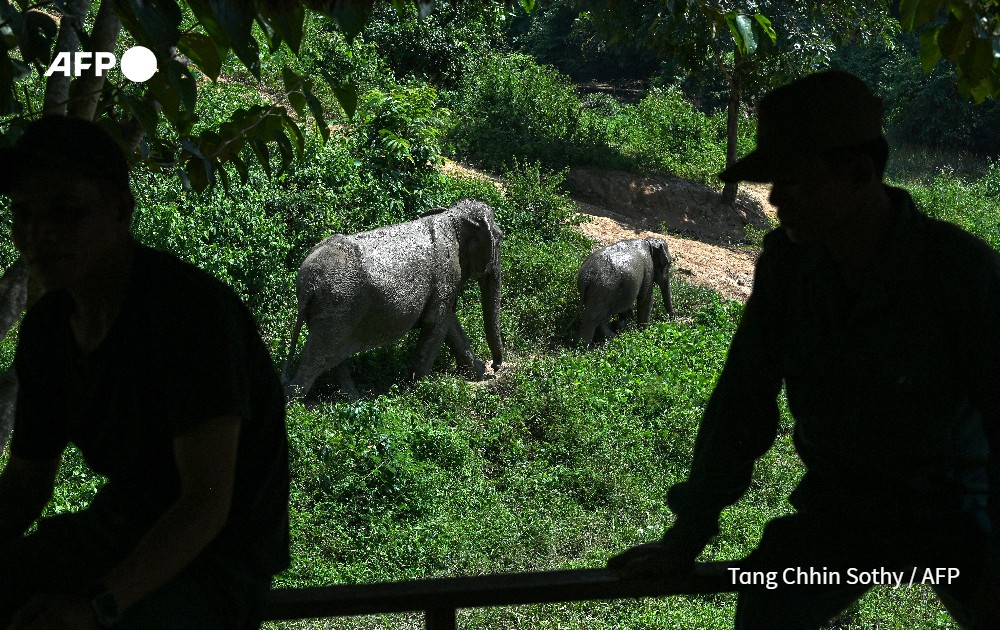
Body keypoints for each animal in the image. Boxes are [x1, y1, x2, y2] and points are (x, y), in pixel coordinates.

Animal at [283, 199, 503, 400]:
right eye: (500, 238)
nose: (495, 366)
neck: (451, 215)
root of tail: (307, 280)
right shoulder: (446, 272)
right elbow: (436, 324)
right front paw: (421, 389)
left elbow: (449, 323)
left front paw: (477, 372)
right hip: (337, 305)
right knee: (317, 358)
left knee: (330, 357)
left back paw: (354, 399)